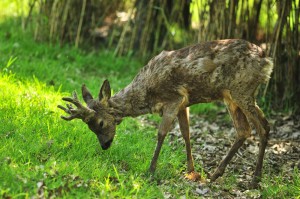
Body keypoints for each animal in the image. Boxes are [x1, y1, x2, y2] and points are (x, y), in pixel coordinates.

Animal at [57, 39, 274, 188]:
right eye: (90, 128)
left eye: (100, 123)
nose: (104, 145)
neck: (146, 92)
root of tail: (266, 59)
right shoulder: (184, 103)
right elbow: (186, 134)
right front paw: (191, 171)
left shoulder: (173, 98)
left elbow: (161, 133)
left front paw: (150, 171)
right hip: (231, 95)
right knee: (245, 130)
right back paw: (216, 174)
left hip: (242, 89)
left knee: (262, 127)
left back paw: (254, 179)